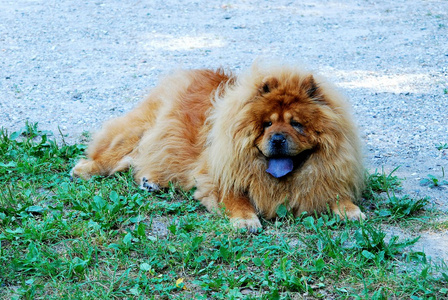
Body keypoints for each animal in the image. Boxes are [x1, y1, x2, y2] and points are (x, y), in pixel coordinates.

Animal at [70, 62, 364, 232]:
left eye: (297, 124)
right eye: (267, 124)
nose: (278, 138)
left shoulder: (326, 174)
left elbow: (336, 194)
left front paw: (351, 211)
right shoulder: (218, 175)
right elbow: (236, 198)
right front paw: (246, 220)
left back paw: (150, 181)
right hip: (140, 129)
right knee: (115, 154)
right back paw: (84, 169)